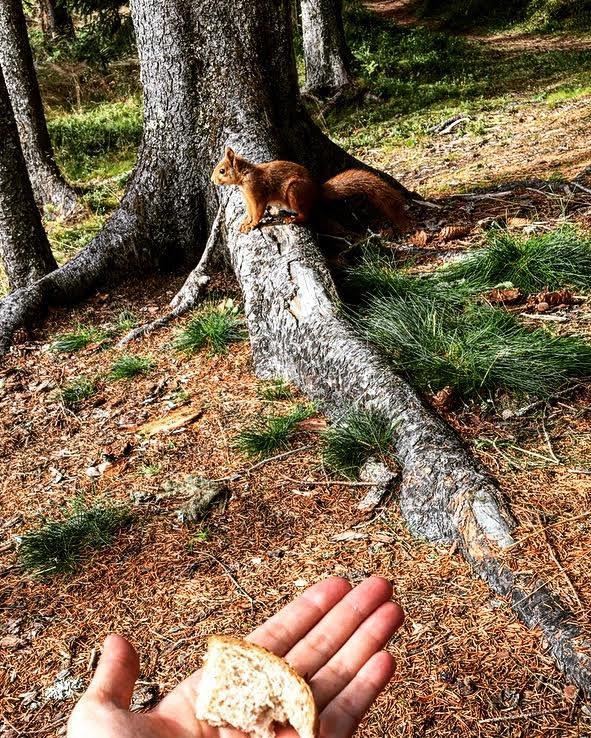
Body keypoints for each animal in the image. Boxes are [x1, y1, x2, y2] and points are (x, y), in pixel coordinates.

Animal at [213, 147, 412, 233]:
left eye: (222, 170)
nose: (212, 180)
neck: (245, 177)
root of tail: (317, 192)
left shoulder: (257, 193)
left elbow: (258, 211)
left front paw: (252, 225)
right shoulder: (248, 198)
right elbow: (249, 211)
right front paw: (245, 222)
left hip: (294, 192)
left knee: (306, 214)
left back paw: (293, 219)